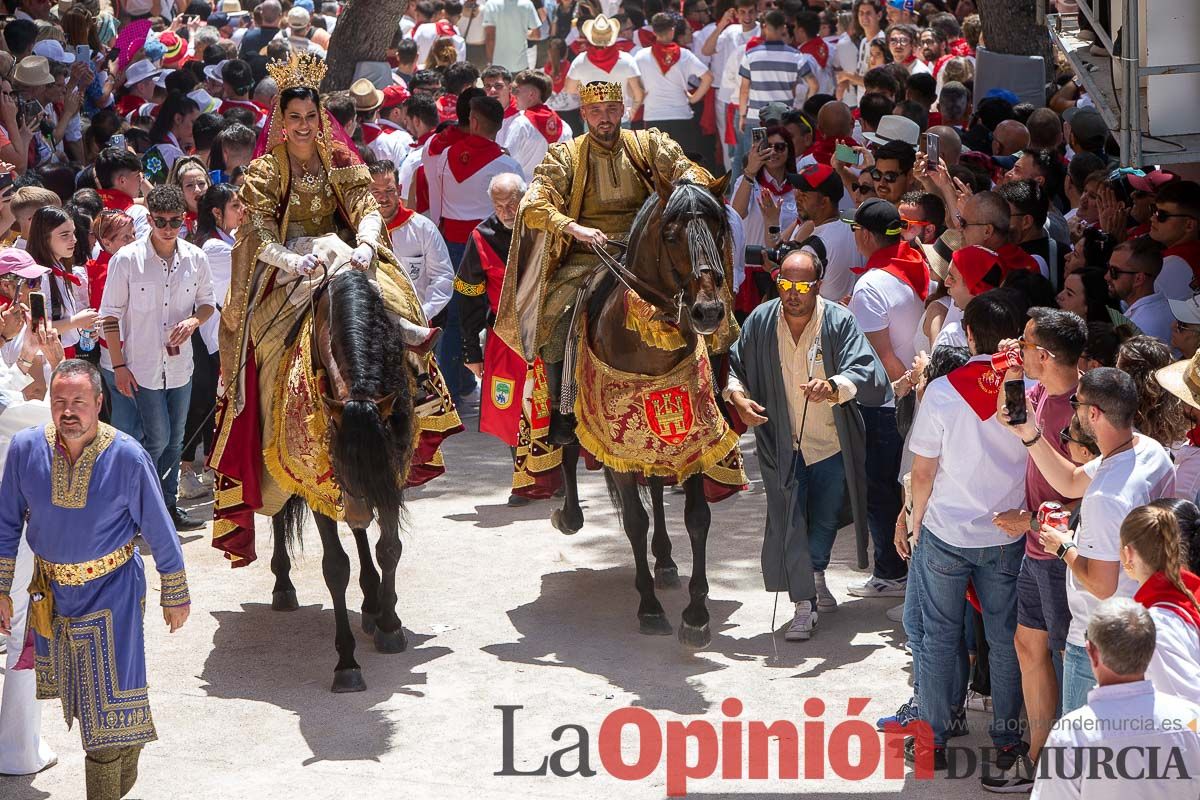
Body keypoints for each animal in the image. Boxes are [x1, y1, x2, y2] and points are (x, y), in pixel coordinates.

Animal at [265, 268, 415, 695]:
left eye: (379, 462)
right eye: (341, 460)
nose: (360, 512)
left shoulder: (391, 475)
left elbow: (389, 548)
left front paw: (389, 624)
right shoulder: (320, 484)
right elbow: (335, 567)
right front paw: (346, 663)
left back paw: (372, 605)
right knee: (278, 512)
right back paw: (282, 584)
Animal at [556, 178, 734, 647]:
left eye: (718, 229)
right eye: (671, 236)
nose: (709, 311)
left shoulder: (691, 438)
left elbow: (697, 518)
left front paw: (696, 615)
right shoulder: (615, 438)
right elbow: (635, 521)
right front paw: (650, 609)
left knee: (654, 482)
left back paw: (666, 560)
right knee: (567, 448)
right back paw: (569, 515)